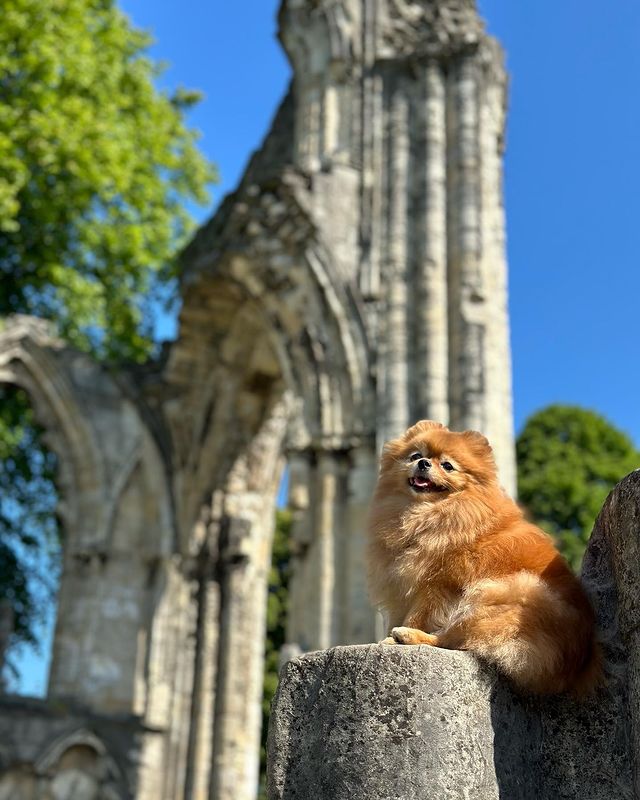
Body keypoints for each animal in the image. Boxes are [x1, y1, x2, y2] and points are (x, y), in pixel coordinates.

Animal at [368, 418, 604, 692]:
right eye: (415, 455)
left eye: (447, 466)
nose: (424, 463)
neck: (426, 513)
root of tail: (574, 665)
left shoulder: (437, 585)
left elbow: (419, 615)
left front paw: (393, 636)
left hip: (492, 595)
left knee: (451, 639)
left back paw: (405, 636)